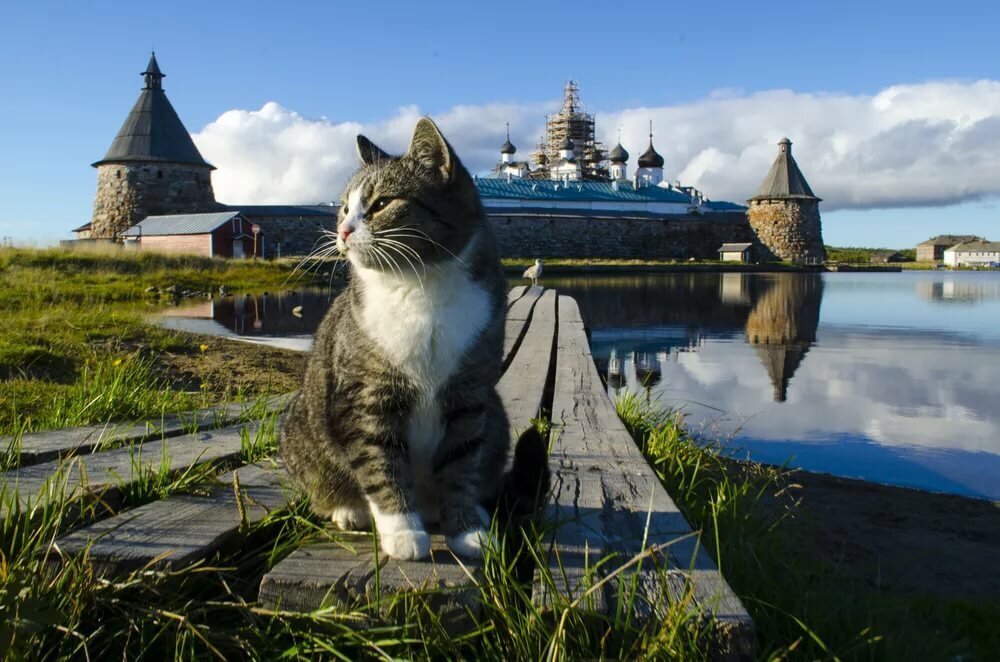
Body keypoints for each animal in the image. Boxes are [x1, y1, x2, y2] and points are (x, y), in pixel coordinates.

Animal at [280, 118, 548, 560]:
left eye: (381, 204)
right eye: (344, 207)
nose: (342, 229)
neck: (420, 286)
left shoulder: (469, 395)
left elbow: (460, 466)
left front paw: (467, 528)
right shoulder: (367, 396)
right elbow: (380, 465)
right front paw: (402, 531)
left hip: (496, 416)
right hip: (302, 427)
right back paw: (349, 510)